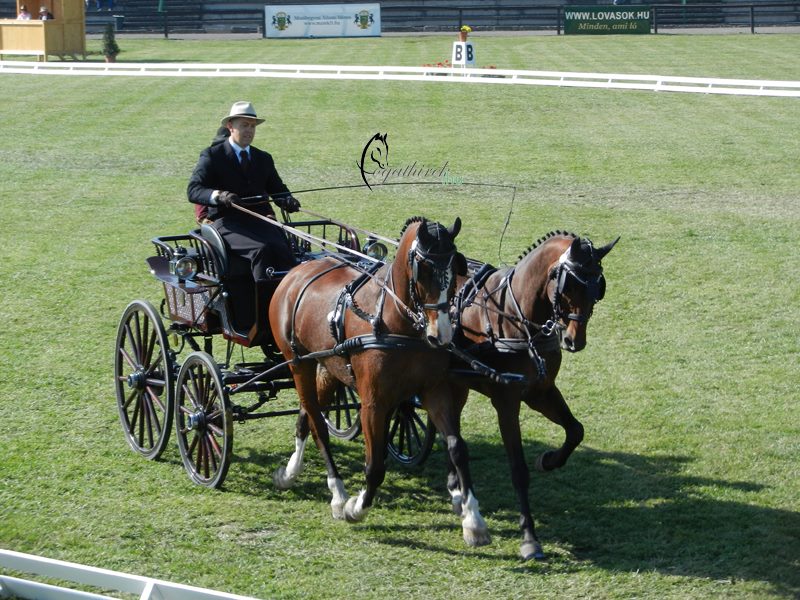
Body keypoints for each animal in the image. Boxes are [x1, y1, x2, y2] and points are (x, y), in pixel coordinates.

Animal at [270, 217, 488, 548]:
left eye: (455, 270)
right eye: (424, 270)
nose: (442, 335)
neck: (397, 322)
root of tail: (294, 274)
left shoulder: (435, 391)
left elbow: (457, 448)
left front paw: (473, 520)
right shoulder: (373, 403)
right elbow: (375, 466)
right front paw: (356, 507)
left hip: (328, 366)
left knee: (307, 414)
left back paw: (291, 471)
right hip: (298, 363)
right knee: (318, 424)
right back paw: (338, 494)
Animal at [450, 232, 620, 560]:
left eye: (598, 288)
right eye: (569, 285)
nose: (574, 340)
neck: (515, 317)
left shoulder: (541, 391)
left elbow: (575, 430)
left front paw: (549, 460)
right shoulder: (506, 403)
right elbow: (518, 470)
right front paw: (529, 538)